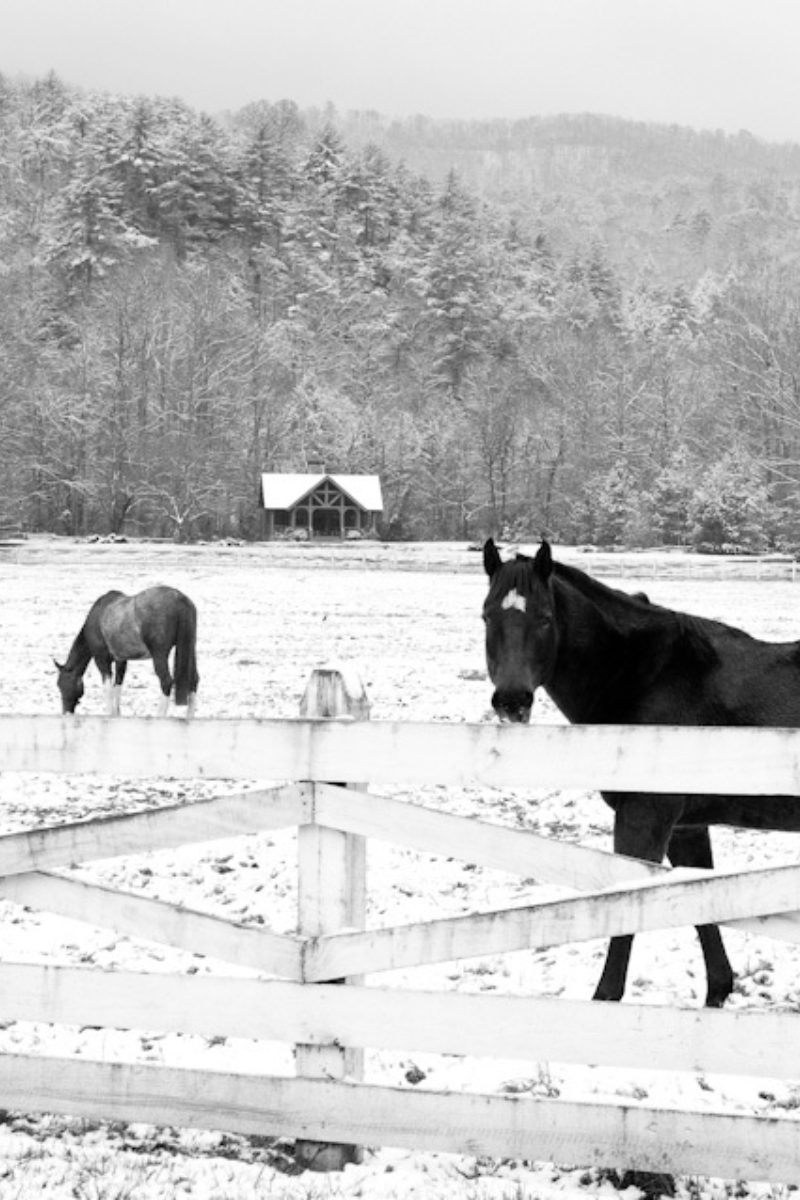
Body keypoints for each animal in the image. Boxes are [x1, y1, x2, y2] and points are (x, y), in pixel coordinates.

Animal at [55, 586, 199, 718]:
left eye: (61, 685)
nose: (65, 712)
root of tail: (179, 598)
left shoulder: (101, 660)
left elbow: (108, 689)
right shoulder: (121, 660)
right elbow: (117, 686)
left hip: (159, 655)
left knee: (166, 682)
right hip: (190, 650)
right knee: (194, 681)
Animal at [482, 537, 800, 1008]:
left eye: (544, 618)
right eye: (487, 615)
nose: (511, 701)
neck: (643, 677)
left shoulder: (644, 820)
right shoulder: (686, 828)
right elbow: (702, 911)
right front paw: (718, 993)